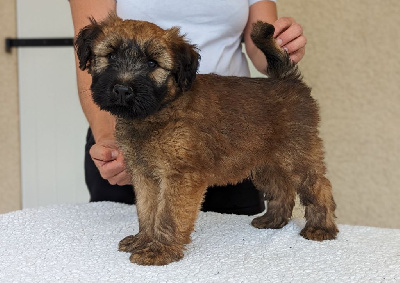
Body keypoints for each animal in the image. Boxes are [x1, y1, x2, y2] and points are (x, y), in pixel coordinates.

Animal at [74, 14, 338, 266]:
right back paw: (272, 220)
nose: (122, 89)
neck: (160, 109)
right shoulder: (144, 175)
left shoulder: (180, 176)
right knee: (281, 189)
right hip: (265, 163)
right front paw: (144, 240)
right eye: (110, 55)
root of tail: (286, 79)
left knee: (318, 186)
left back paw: (321, 228)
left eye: (152, 63)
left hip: (297, 155)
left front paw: (160, 251)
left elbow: (168, 215)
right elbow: (147, 210)